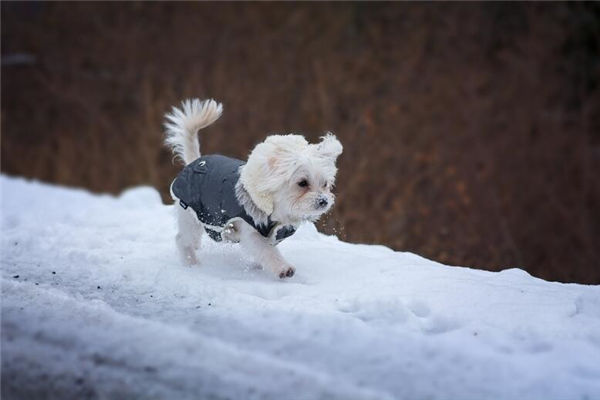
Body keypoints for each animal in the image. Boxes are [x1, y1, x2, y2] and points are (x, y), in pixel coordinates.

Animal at [164, 98, 342, 278]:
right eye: (303, 183)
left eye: (325, 184)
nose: (323, 201)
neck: (277, 210)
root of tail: (195, 162)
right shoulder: (251, 231)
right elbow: (267, 251)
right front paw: (283, 268)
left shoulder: (274, 234)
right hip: (191, 215)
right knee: (182, 240)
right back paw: (191, 262)